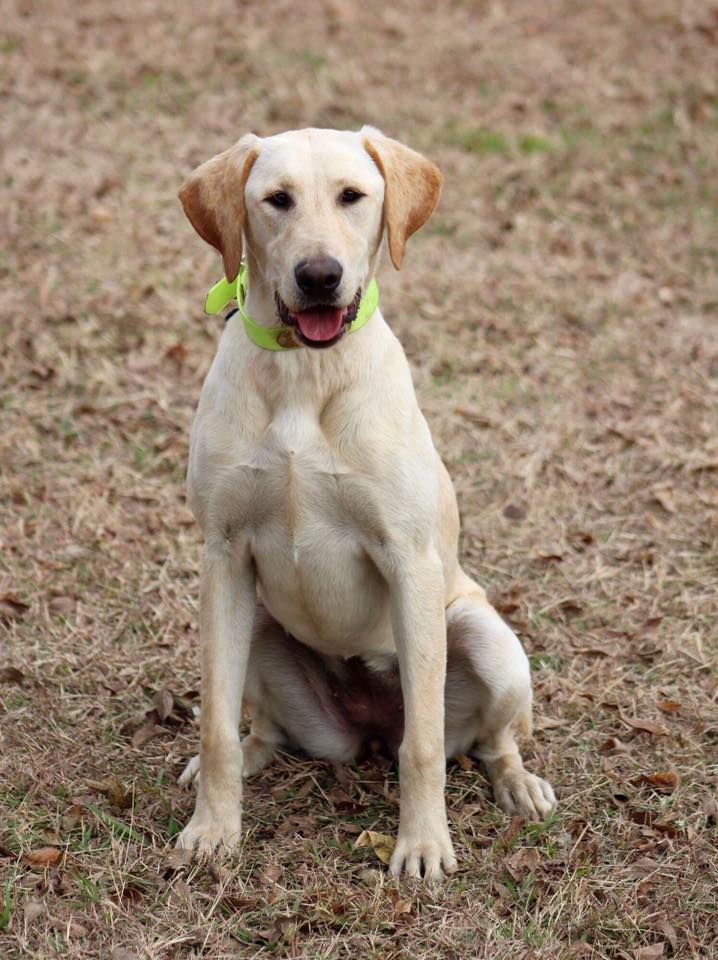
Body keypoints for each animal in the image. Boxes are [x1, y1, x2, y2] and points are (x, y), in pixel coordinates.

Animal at [174, 125, 556, 876]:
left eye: (353, 196)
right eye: (276, 199)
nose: (319, 275)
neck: (304, 368)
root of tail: (369, 730)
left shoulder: (408, 561)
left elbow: (424, 747)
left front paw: (423, 845)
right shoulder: (224, 557)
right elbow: (216, 728)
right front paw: (212, 828)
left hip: (485, 640)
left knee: (482, 740)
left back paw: (518, 783)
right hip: (253, 620)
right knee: (259, 727)